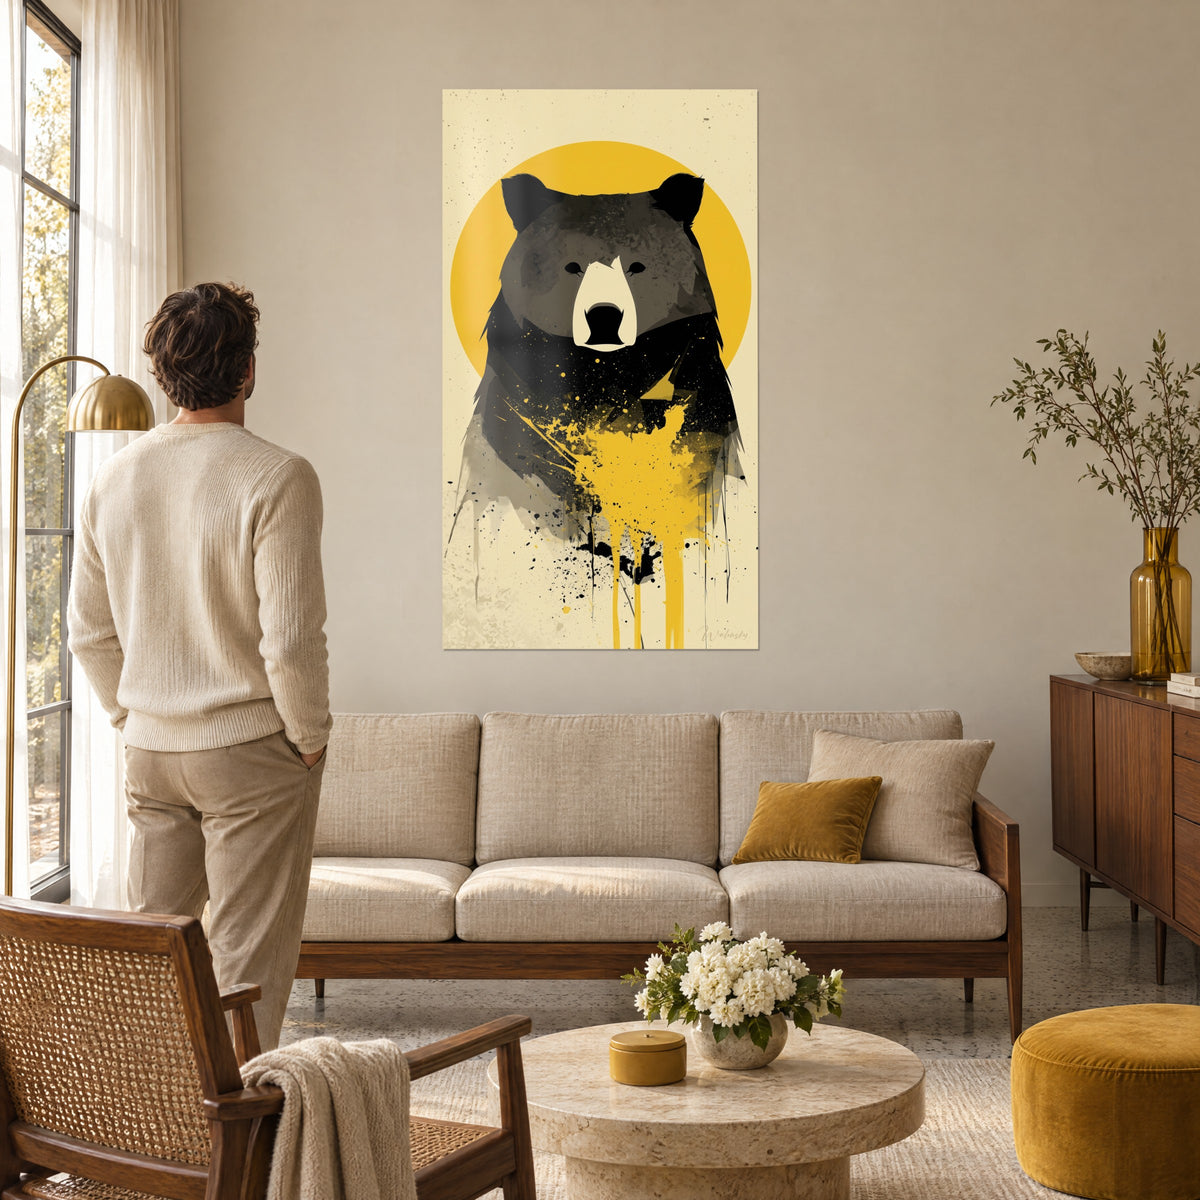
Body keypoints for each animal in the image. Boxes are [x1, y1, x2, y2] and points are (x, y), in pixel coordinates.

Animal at [449, 171, 742, 586]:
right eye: (572, 266)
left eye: (637, 266)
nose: (604, 317)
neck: (605, 373)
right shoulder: (520, 420)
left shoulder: (694, 410)